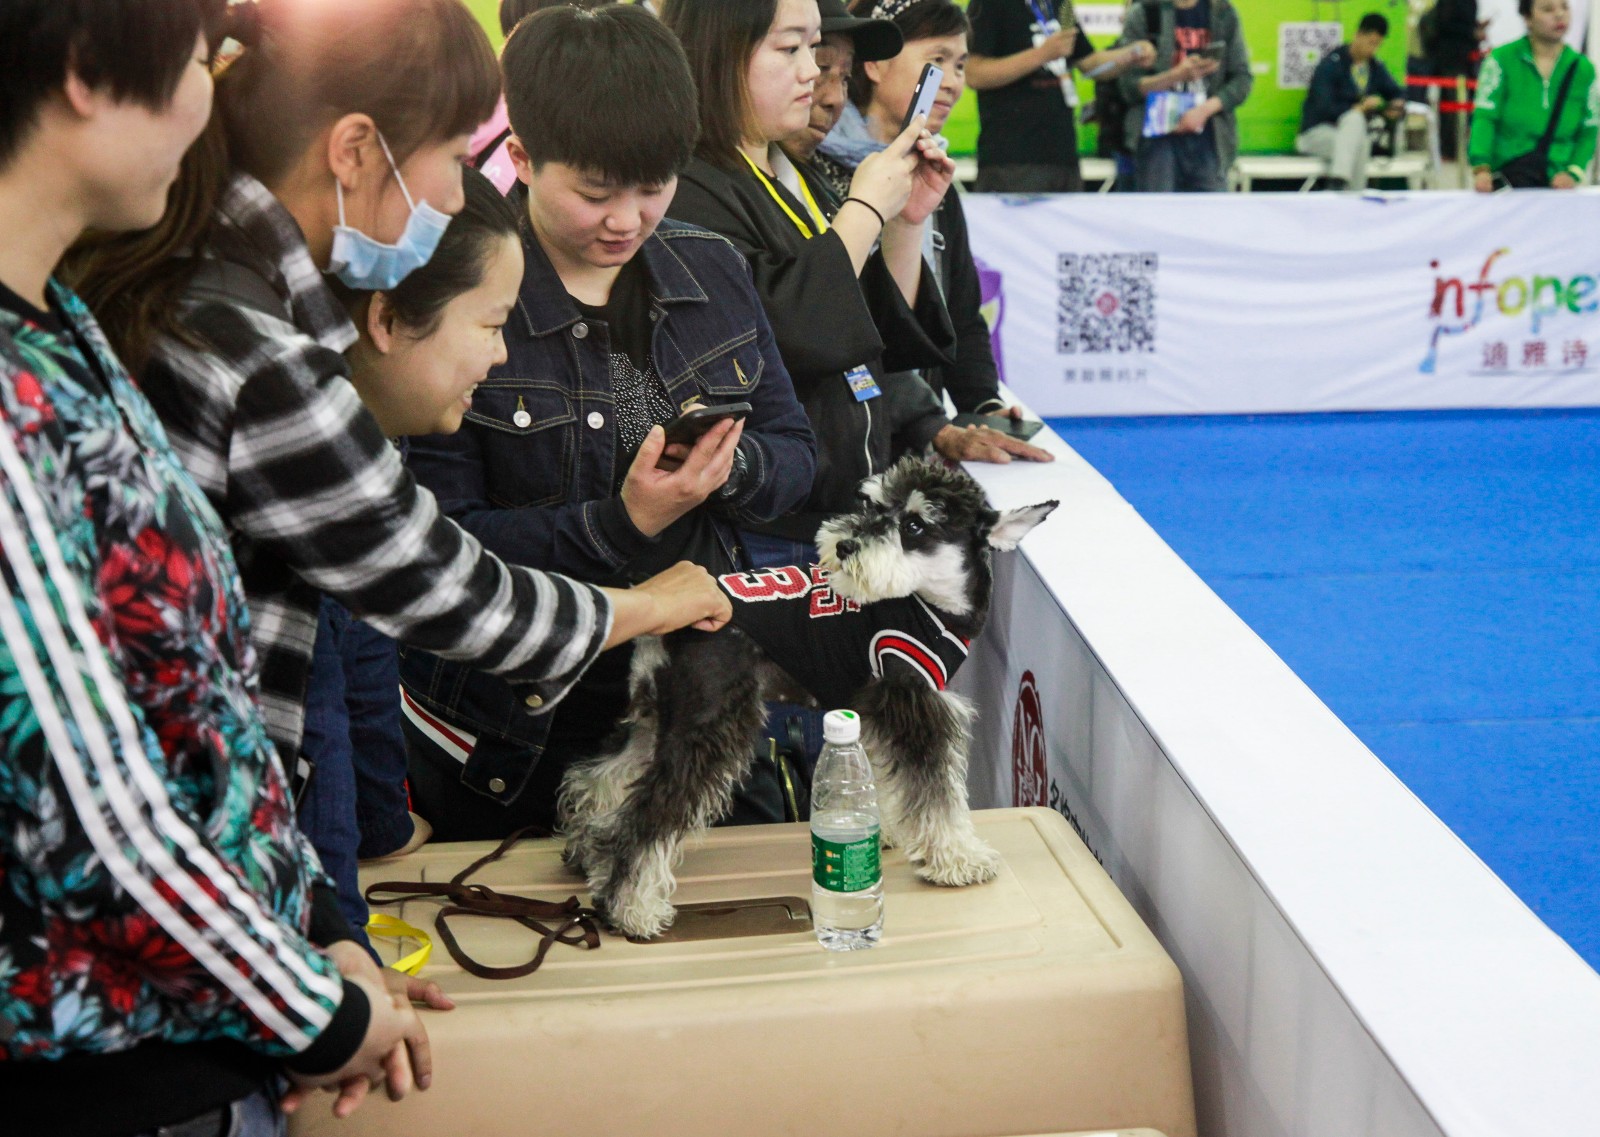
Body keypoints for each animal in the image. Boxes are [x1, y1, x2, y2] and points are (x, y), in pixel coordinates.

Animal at [556, 457, 1056, 940]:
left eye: (915, 524)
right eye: (875, 506)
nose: (845, 546)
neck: (931, 602)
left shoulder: (875, 710)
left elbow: (886, 776)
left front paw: (886, 828)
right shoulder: (915, 707)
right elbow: (938, 793)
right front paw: (959, 858)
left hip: (658, 719)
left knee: (600, 780)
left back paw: (588, 854)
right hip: (709, 724)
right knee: (650, 815)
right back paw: (632, 909)